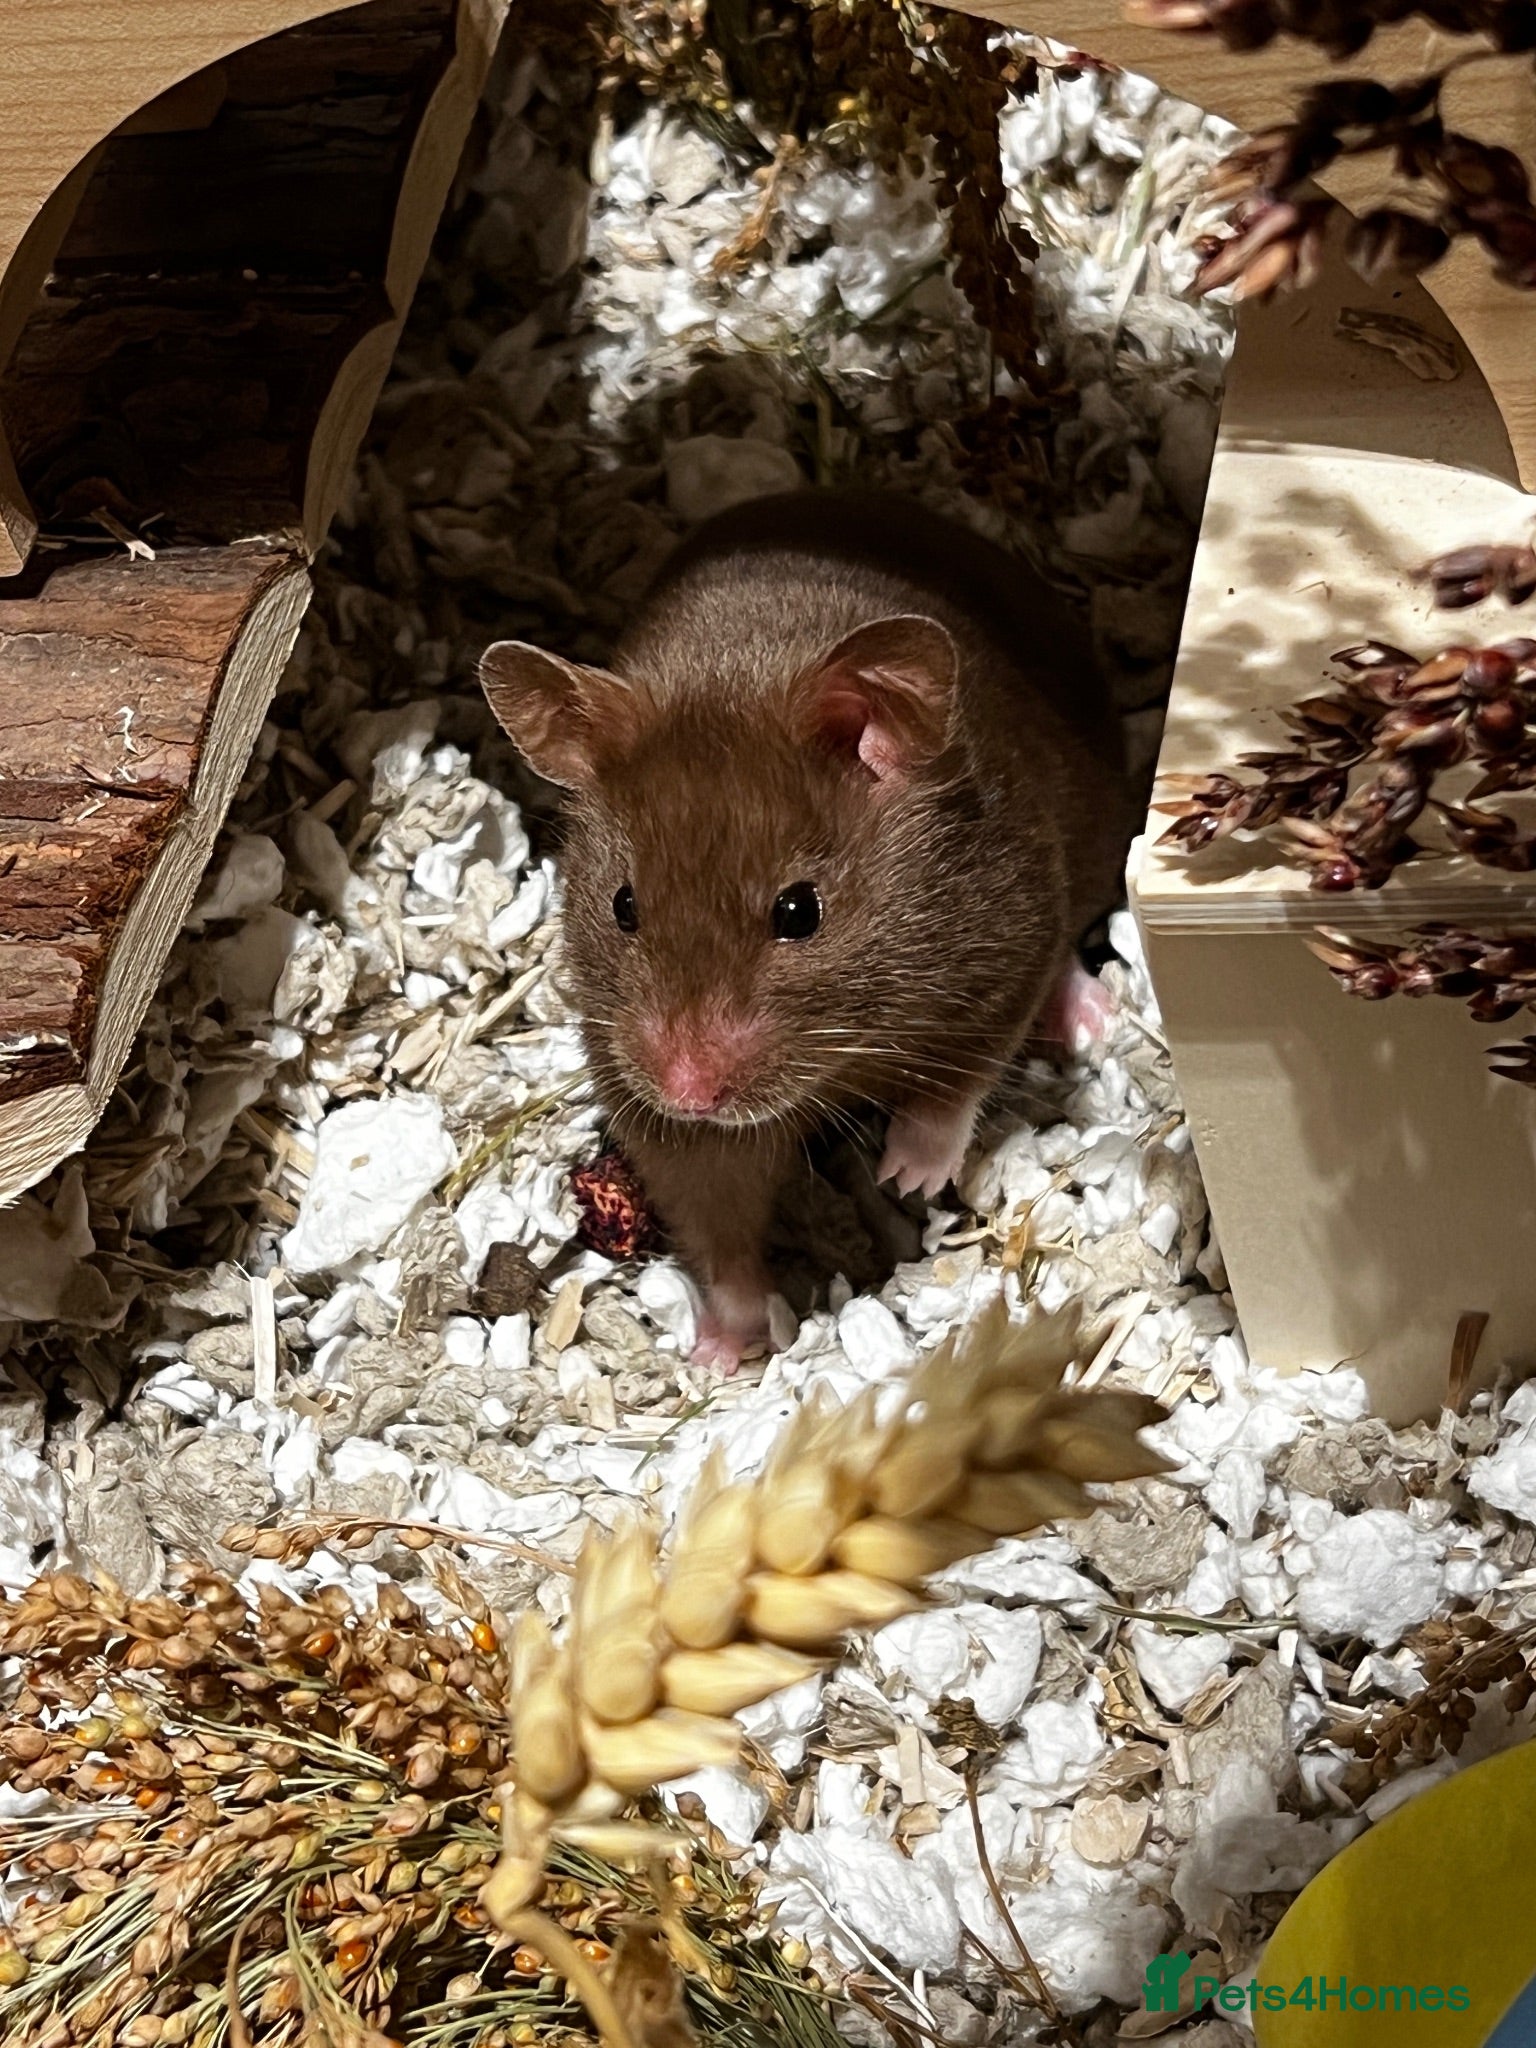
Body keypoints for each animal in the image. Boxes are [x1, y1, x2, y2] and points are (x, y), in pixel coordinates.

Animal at [481, 489, 1133, 1371]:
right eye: (623, 906)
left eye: (799, 911)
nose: (689, 1093)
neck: (839, 1046)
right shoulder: (654, 1105)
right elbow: (717, 1219)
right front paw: (721, 1350)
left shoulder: (1005, 940)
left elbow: (957, 1080)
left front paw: (907, 1176)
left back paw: (1093, 1020)